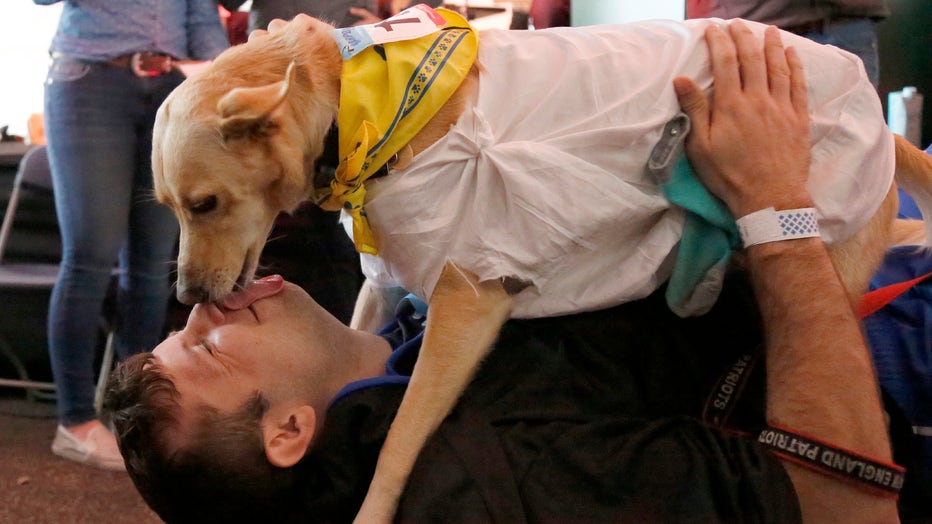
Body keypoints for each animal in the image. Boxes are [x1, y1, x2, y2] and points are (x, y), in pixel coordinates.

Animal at [149, 6, 928, 520]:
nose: (188, 298)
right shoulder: (384, 285)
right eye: (169, 208)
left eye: (206, 203)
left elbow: (400, 440)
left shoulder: (466, 303)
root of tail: (879, 123)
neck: (359, 104)